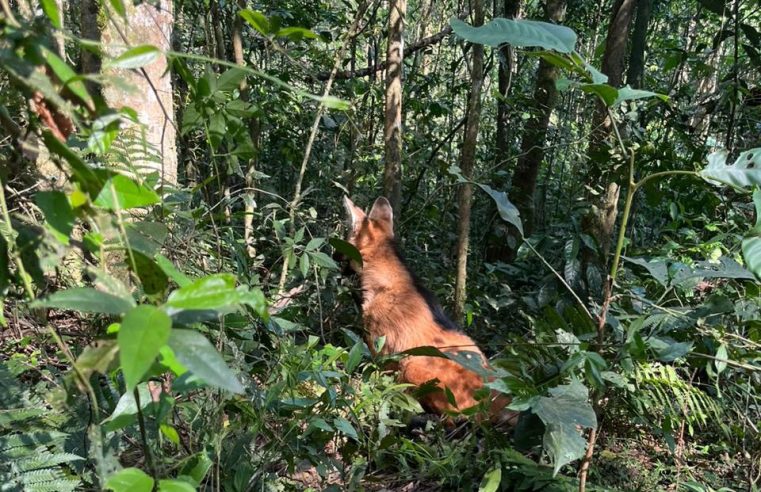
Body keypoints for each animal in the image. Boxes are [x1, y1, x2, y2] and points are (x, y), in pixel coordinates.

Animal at [344, 196, 516, 422]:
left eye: (345, 240)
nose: (334, 255)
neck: (383, 282)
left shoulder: (382, 348)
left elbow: (378, 379)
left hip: (414, 366)